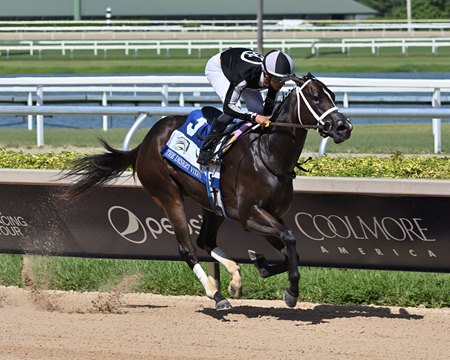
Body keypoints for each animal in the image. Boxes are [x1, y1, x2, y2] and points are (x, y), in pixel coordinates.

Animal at [64, 72, 352, 310]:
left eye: (332, 95)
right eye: (316, 98)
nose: (344, 127)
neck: (268, 154)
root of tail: (146, 142)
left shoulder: (271, 215)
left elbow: (291, 248)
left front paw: (260, 265)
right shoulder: (249, 215)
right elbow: (290, 239)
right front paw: (291, 292)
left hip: (212, 204)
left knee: (205, 241)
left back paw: (233, 278)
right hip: (167, 194)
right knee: (188, 248)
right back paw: (217, 295)